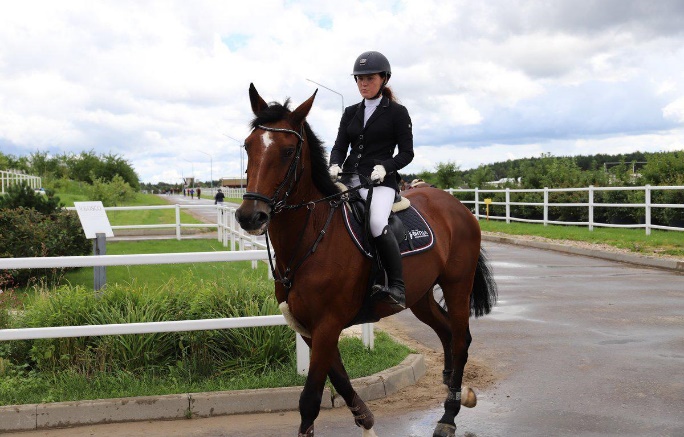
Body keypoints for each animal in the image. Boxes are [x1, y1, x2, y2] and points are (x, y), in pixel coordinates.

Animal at [235, 84, 496, 436]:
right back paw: (452, 391)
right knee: (447, 334)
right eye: (248, 146)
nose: (250, 216)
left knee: (460, 338)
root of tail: (458, 206)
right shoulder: (308, 327)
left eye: (288, 151)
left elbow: (310, 400)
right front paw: (367, 421)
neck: (313, 235)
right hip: (420, 296)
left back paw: (449, 415)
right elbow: (342, 382)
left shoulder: (327, 324)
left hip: (457, 284)